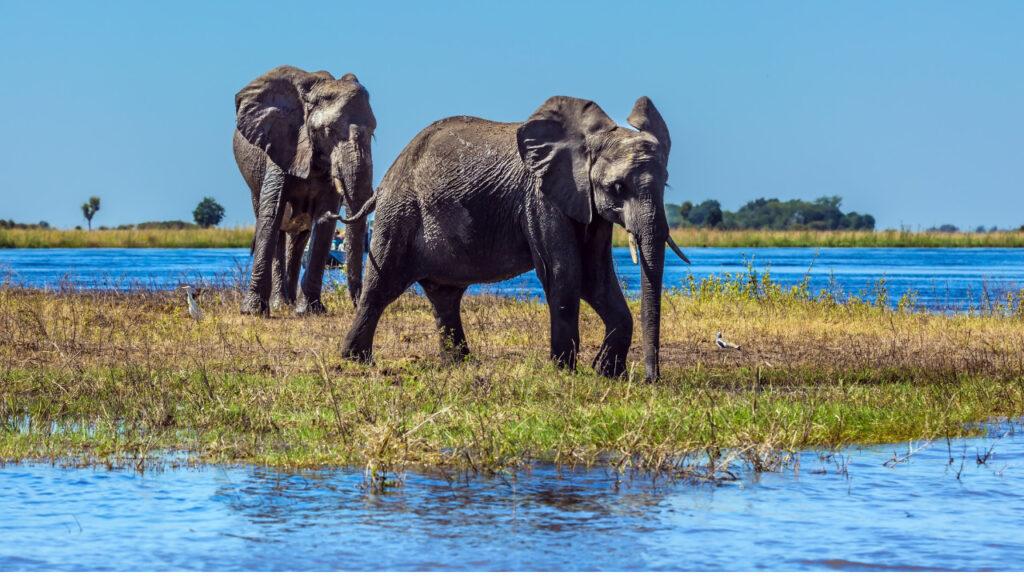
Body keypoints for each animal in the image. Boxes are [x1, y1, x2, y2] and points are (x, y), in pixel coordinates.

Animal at [232, 65, 376, 313]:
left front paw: (310, 311)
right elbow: (271, 215)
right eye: (329, 131)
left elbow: (324, 223)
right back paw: (280, 305)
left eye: (374, 132)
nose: (357, 305)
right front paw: (252, 311)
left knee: (299, 239)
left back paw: (290, 304)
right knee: (277, 229)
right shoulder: (281, 144)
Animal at [342, 95, 688, 381]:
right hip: (399, 213)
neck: (591, 140)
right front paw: (564, 372)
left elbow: (596, 277)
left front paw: (606, 372)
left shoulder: (588, 204)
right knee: (381, 287)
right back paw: (355, 362)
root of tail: (384, 182)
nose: (652, 379)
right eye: (617, 187)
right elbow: (564, 272)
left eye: (666, 184)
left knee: (445, 296)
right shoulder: (539, 197)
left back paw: (459, 364)